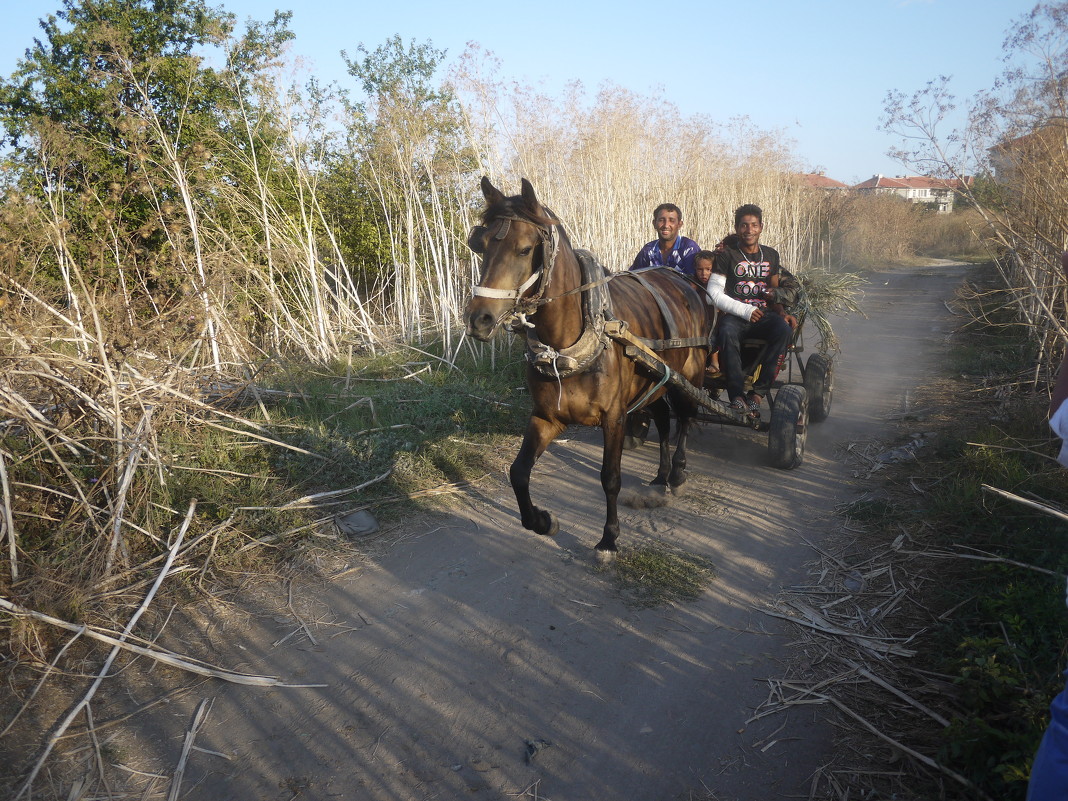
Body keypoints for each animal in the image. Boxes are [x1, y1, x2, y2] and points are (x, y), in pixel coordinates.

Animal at [465, 176, 709, 555]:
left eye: (524, 249)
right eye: (480, 245)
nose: (479, 319)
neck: (567, 344)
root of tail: (685, 282)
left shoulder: (614, 417)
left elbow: (610, 478)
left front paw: (609, 538)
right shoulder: (547, 416)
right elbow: (518, 472)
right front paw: (541, 521)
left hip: (689, 373)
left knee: (684, 416)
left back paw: (678, 473)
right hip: (653, 379)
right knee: (662, 418)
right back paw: (660, 475)